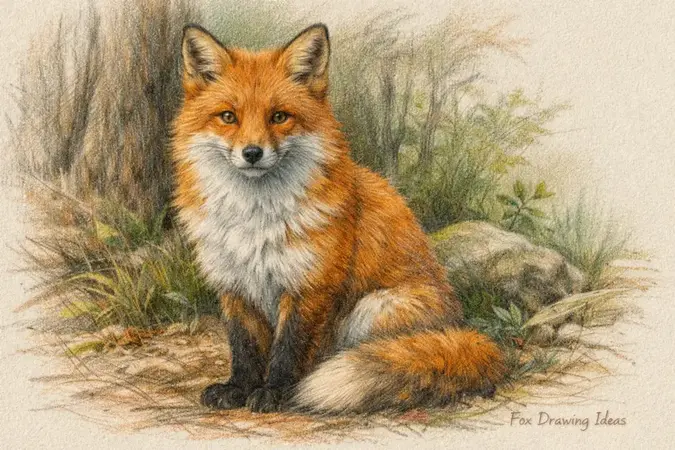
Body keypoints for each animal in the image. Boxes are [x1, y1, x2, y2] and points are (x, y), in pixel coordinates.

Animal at [171, 23, 506, 414]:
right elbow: (244, 349)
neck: (254, 220)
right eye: (228, 117)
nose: (252, 153)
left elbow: (289, 350)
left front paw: (275, 392)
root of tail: (461, 326)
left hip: (374, 308)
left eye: (279, 117)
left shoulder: (310, 286)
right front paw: (238, 388)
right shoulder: (235, 285)